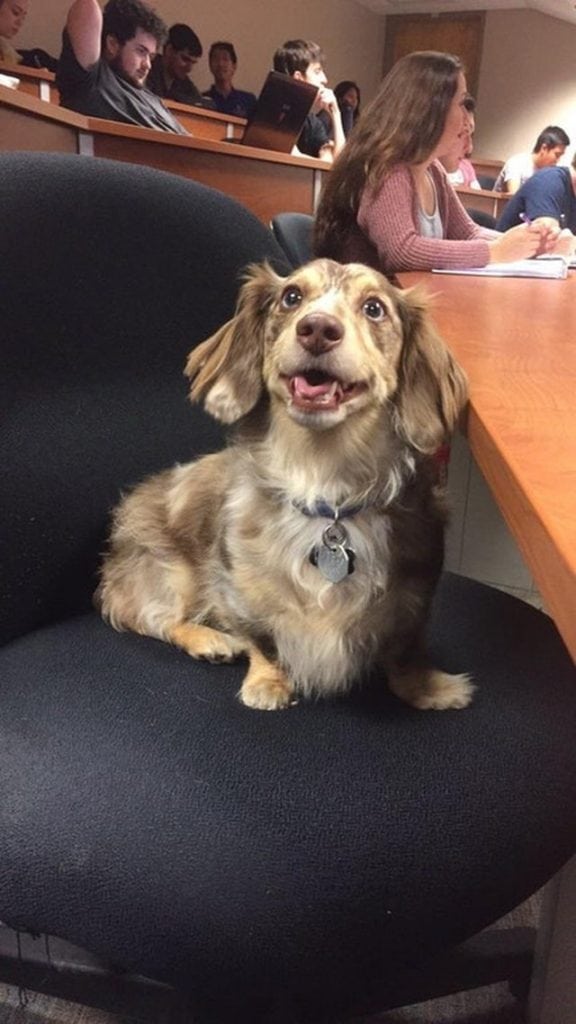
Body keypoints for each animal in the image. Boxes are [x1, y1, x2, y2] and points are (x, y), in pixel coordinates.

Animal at [97, 258, 473, 712]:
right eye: (292, 297)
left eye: (374, 308)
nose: (317, 328)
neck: (323, 479)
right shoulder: (241, 589)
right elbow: (262, 639)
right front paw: (267, 682)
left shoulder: (414, 594)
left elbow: (406, 650)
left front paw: (429, 688)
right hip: (168, 572)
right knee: (154, 617)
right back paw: (209, 639)